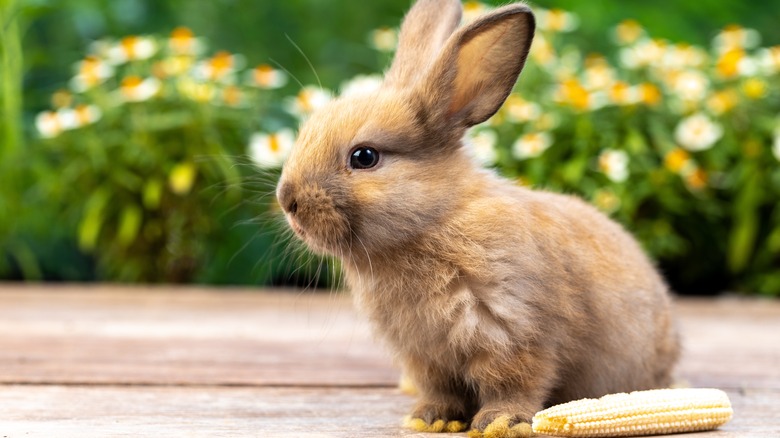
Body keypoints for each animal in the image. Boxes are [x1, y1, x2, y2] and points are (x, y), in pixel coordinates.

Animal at [278, 0, 680, 434]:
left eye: (364, 156)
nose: (287, 200)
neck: (434, 221)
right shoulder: (425, 355)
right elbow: (441, 390)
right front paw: (429, 418)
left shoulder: (515, 331)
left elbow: (514, 384)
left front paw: (500, 422)